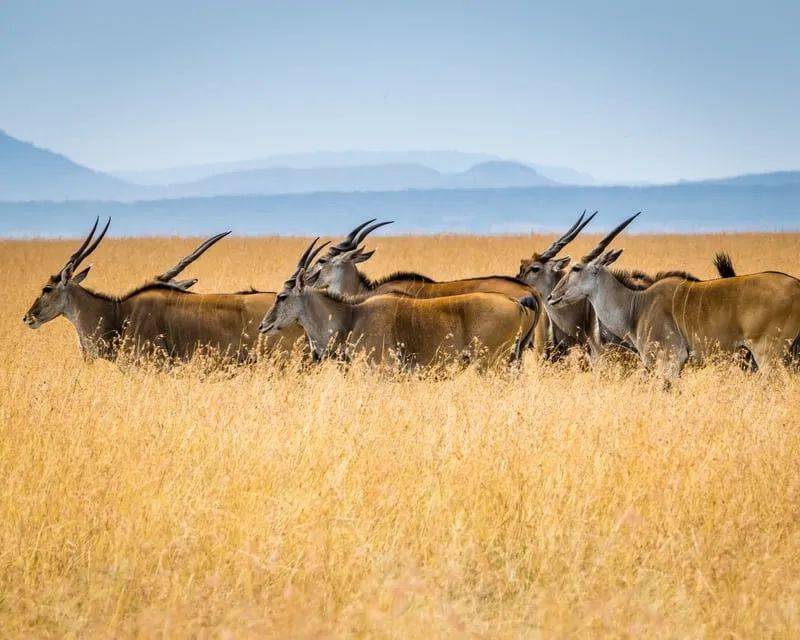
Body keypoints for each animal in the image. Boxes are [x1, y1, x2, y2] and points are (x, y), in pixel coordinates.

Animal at [548, 215, 800, 382]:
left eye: (576, 268)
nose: (552, 297)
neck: (636, 306)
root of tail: (796, 285)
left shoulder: (670, 359)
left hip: (769, 354)